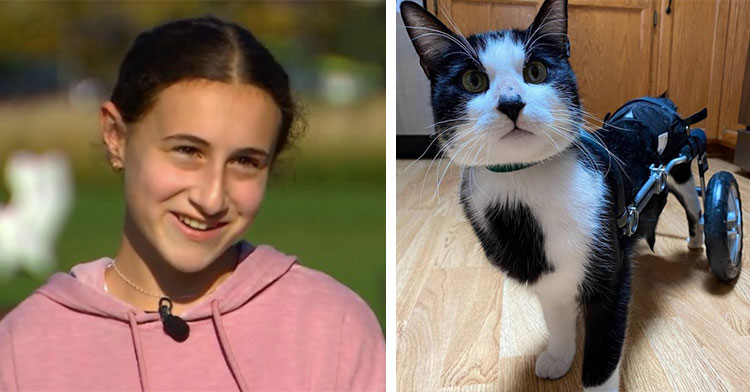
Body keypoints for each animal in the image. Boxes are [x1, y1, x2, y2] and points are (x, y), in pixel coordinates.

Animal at [402, 0, 704, 388]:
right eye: (472, 80)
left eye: (536, 71)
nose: (511, 103)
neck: (524, 182)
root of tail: (659, 100)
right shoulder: (547, 273)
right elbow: (556, 311)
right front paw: (559, 355)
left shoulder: (609, 271)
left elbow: (604, 352)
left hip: (679, 164)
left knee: (694, 200)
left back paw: (698, 239)